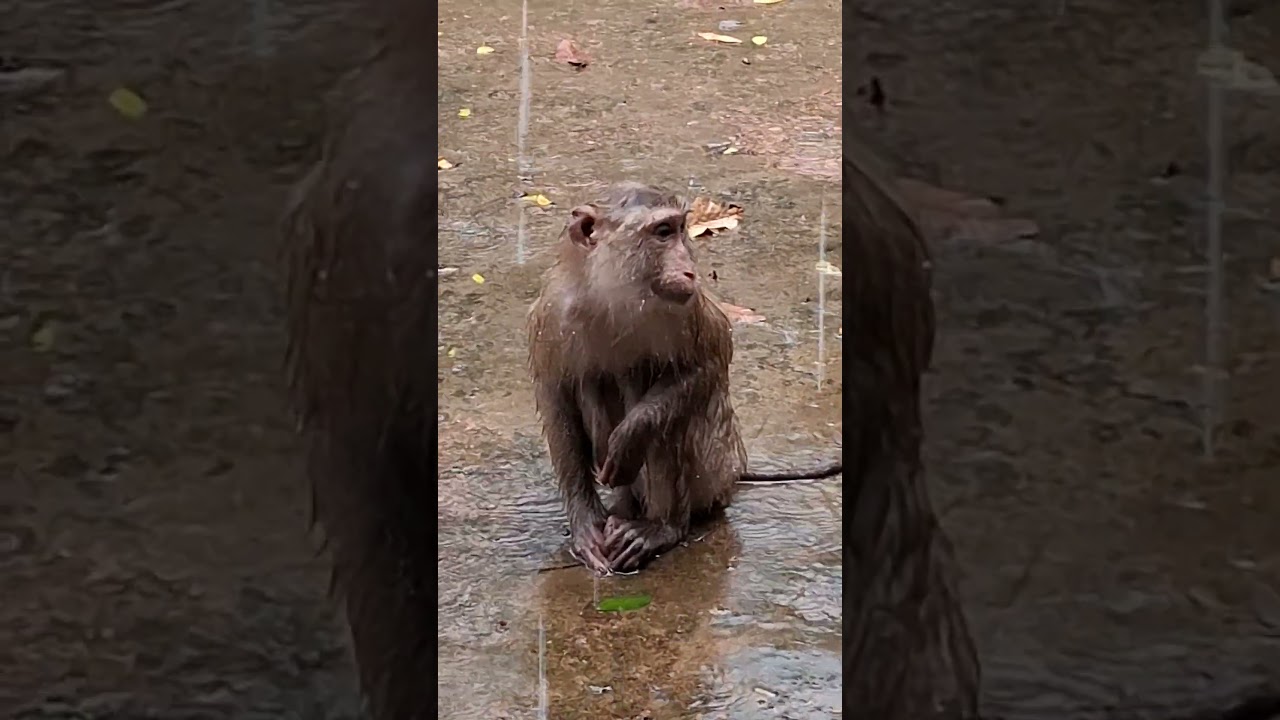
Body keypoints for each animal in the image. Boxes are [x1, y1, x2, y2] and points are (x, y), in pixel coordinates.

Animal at [527, 182, 841, 575]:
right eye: (663, 232)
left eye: (679, 230)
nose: (690, 270)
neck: (610, 293)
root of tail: (734, 470)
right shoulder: (551, 318)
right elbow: (557, 400)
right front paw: (585, 526)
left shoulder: (687, 310)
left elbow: (707, 362)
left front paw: (631, 435)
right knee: (597, 380)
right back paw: (626, 509)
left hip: (711, 472)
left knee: (661, 405)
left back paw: (662, 528)